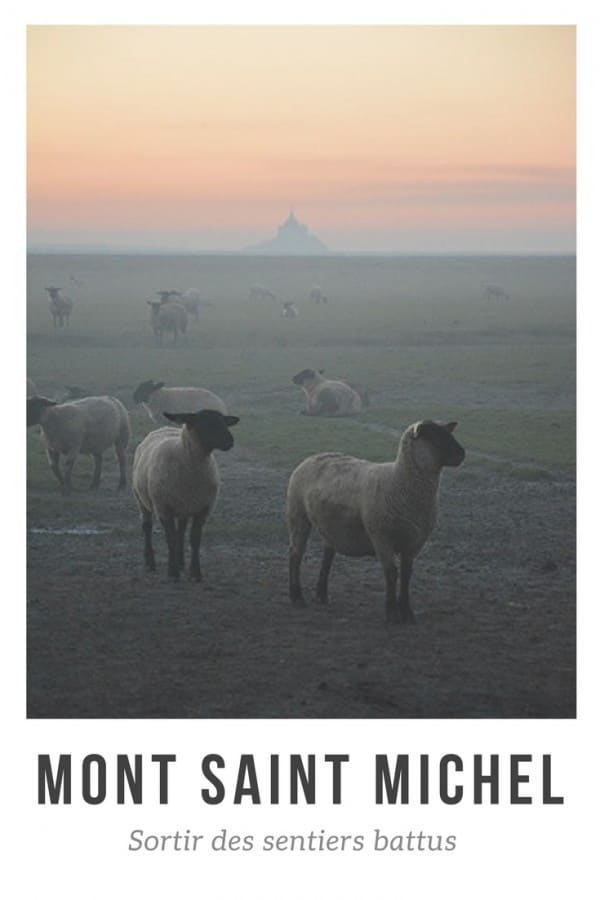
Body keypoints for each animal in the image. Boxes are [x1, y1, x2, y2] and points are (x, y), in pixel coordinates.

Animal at [133, 410, 239, 580]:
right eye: (204, 422)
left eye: (224, 421)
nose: (230, 441)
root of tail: (164, 427)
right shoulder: (163, 508)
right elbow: (170, 538)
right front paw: (172, 572)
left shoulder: (204, 508)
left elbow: (194, 539)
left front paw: (195, 572)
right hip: (141, 499)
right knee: (147, 528)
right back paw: (150, 562)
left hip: (184, 506)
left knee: (181, 531)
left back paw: (181, 561)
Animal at [284, 420, 464, 620]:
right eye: (433, 436)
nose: (462, 454)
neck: (398, 481)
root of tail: (313, 457)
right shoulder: (381, 537)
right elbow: (392, 573)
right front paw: (392, 614)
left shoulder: (414, 542)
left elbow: (407, 574)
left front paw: (407, 613)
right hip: (298, 514)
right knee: (296, 554)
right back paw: (297, 597)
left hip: (329, 525)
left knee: (327, 555)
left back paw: (322, 595)